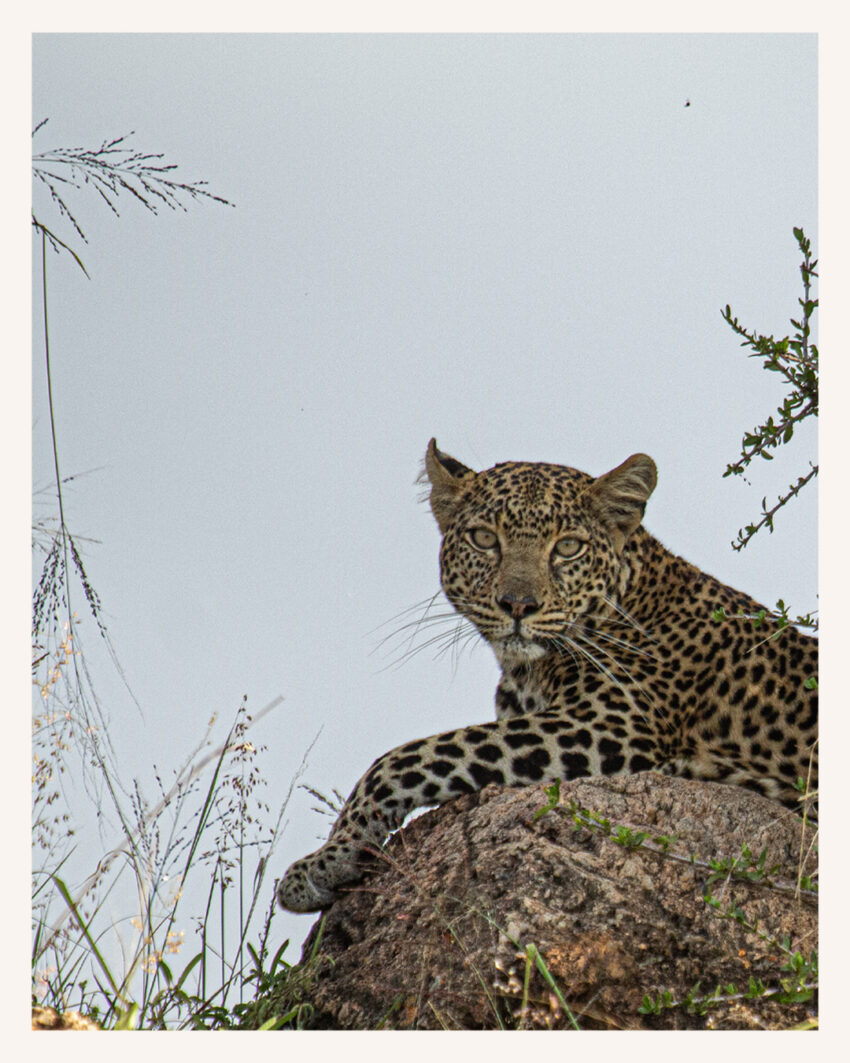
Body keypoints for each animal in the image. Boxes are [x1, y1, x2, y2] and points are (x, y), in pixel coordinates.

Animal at [277, 439, 818, 913]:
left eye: (569, 548)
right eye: (484, 539)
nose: (518, 605)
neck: (526, 670)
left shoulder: (612, 726)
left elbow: (408, 756)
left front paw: (325, 862)